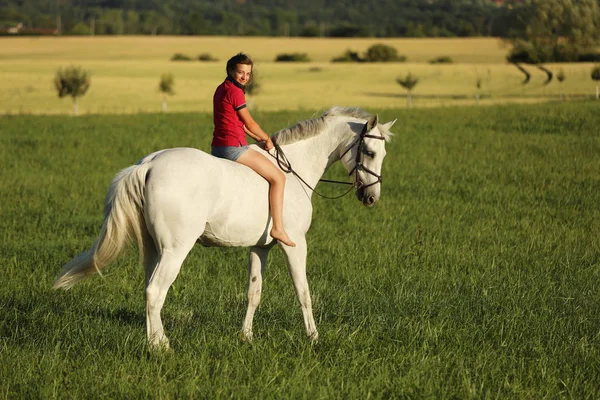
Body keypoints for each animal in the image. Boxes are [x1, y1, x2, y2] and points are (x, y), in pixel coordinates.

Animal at [55, 105, 394, 346]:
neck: (294, 169)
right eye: (369, 152)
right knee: (155, 292)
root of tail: (148, 165)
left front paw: (246, 337)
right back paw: (161, 348)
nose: (372, 197)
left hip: (153, 249)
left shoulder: (260, 247)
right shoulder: (295, 244)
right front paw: (313, 338)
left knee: (148, 290)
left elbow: (254, 292)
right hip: (175, 250)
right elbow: (303, 291)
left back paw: (155, 340)